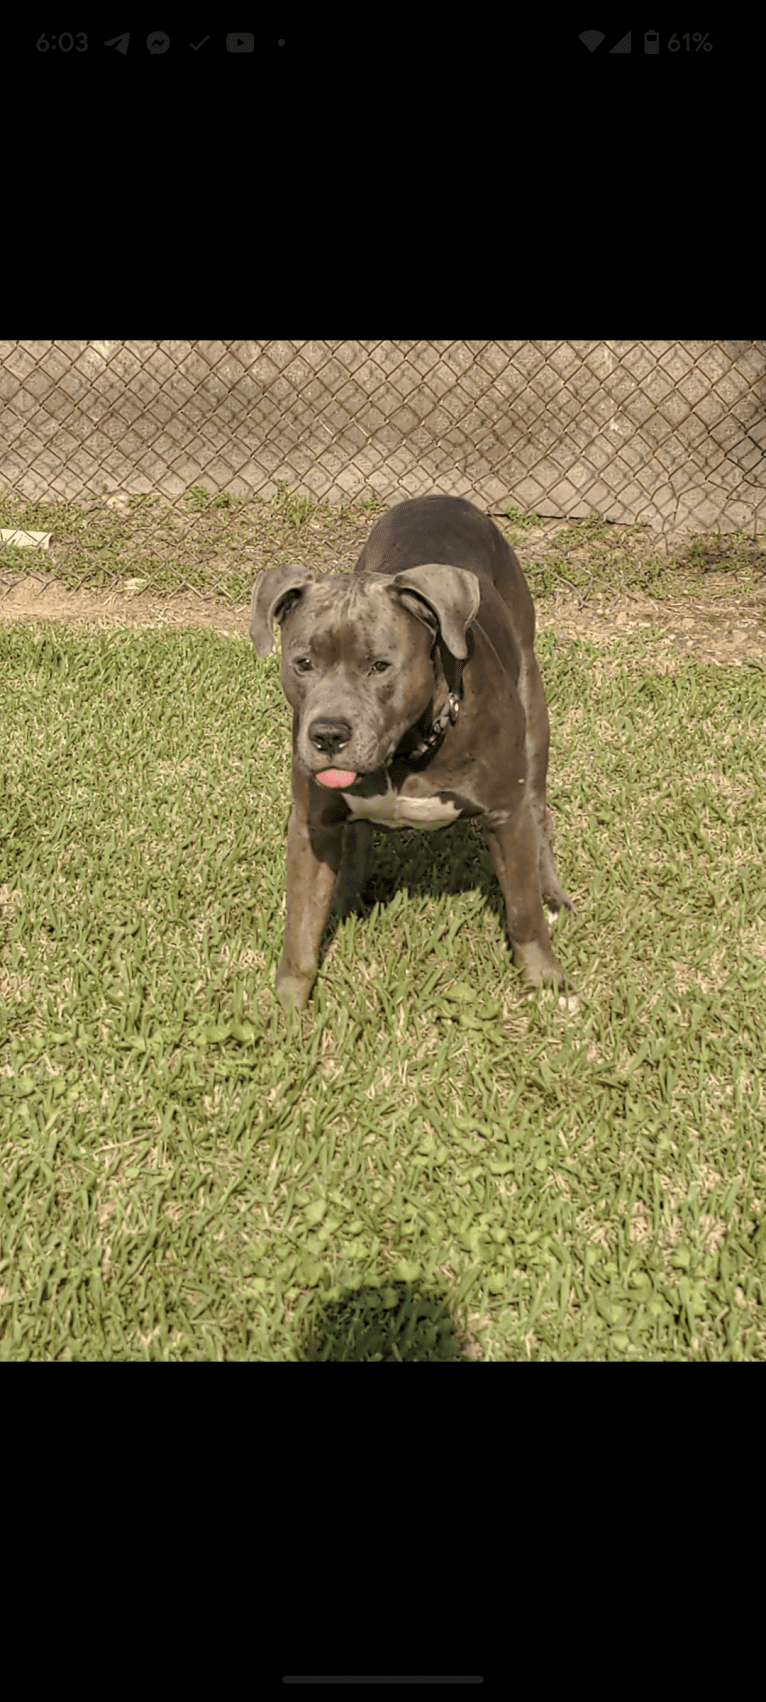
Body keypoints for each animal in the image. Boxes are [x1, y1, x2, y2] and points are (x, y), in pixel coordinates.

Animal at [251, 493, 575, 1007]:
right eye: (302, 663)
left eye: (380, 666)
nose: (327, 734)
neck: (408, 750)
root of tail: (444, 499)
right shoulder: (311, 825)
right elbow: (299, 931)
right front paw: (286, 1008)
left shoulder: (507, 815)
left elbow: (522, 912)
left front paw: (546, 979)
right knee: (357, 836)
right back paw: (346, 895)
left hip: (534, 711)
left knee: (540, 811)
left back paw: (551, 895)